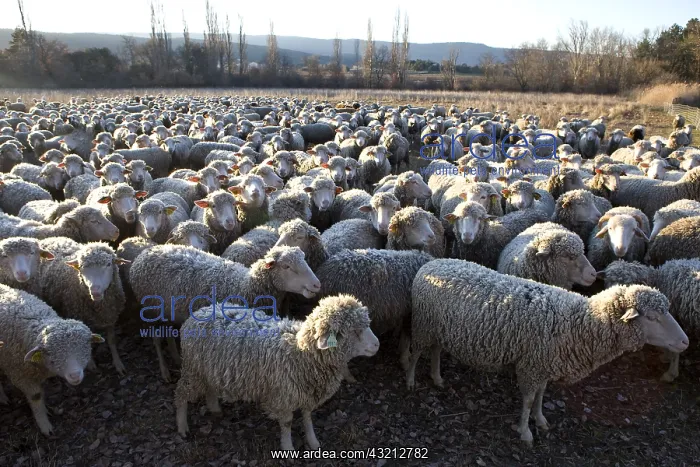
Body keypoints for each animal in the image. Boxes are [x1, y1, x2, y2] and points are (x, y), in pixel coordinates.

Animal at [0, 284, 104, 435]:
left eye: (86, 346)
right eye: (51, 354)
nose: (74, 375)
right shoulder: (18, 374)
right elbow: (36, 396)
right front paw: (44, 424)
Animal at [33, 238, 128, 375]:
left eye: (109, 264)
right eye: (82, 267)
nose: (95, 291)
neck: (99, 306)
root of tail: (50, 238)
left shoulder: (110, 316)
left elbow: (112, 341)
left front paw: (118, 363)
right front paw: (91, 363)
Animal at [130, 245, 321, 381]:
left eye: (304, 260)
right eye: (287, 266)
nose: (316, 285)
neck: (244, 286)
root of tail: (144, 254)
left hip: (167, 311)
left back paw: (176, 358)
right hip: (151, 310)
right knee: (156, 339)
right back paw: (165, 372)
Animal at [174, 294, 378, 450]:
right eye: (353, 331)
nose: (377, 345)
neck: (300, 352)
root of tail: (199, 313)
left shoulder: (306, 393)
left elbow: (307, 418)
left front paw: (313, 442)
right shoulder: (284, 397)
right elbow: (287, 423)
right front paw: (288, 448)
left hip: (208, 368)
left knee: (209, 387)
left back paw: (214, 408)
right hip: (193, 370)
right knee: (181, 393)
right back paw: (182, 427)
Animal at [407, 259, 688, 445]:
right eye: (652, 318)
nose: (685, 342)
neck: (580, 322)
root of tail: (431, 264)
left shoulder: (543, 364)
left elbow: (541, 396)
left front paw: (540, 420)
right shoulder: (531, 365)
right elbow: (528, 399)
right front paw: (525, 432)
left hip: (440, 329)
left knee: (436, 351)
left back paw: (437, 377)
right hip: (422, 326)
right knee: (416, 354)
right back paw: (410, 381)